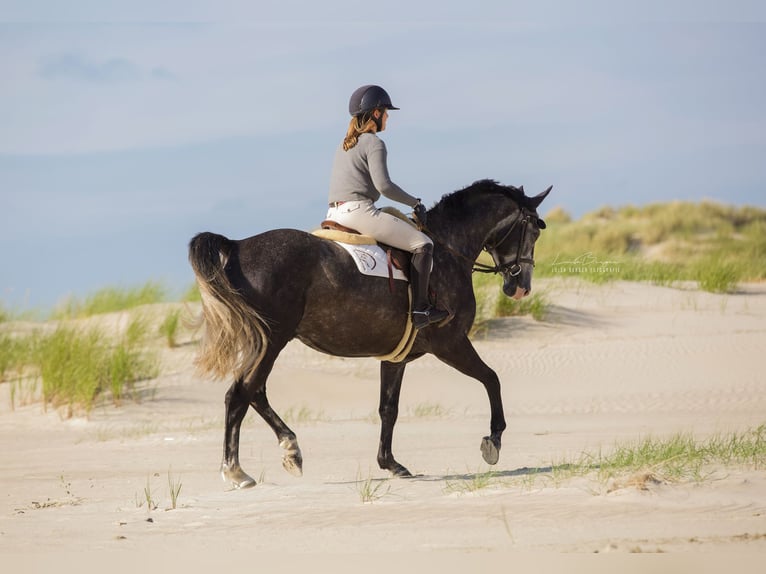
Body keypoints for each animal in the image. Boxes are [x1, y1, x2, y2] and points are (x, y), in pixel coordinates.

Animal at [190, 180, 552, 490]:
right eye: (534, 229)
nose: (520, 287)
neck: (447, 251)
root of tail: (237, 246)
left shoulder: (396, 357)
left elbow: (388, 409)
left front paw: (390, 463)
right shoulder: (451, 343)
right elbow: (492, 379)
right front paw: (494, 441)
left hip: (266, 344)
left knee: (255, 393)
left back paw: (291, 449)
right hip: (271, 342)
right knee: (240, 393)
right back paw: (236, 471)